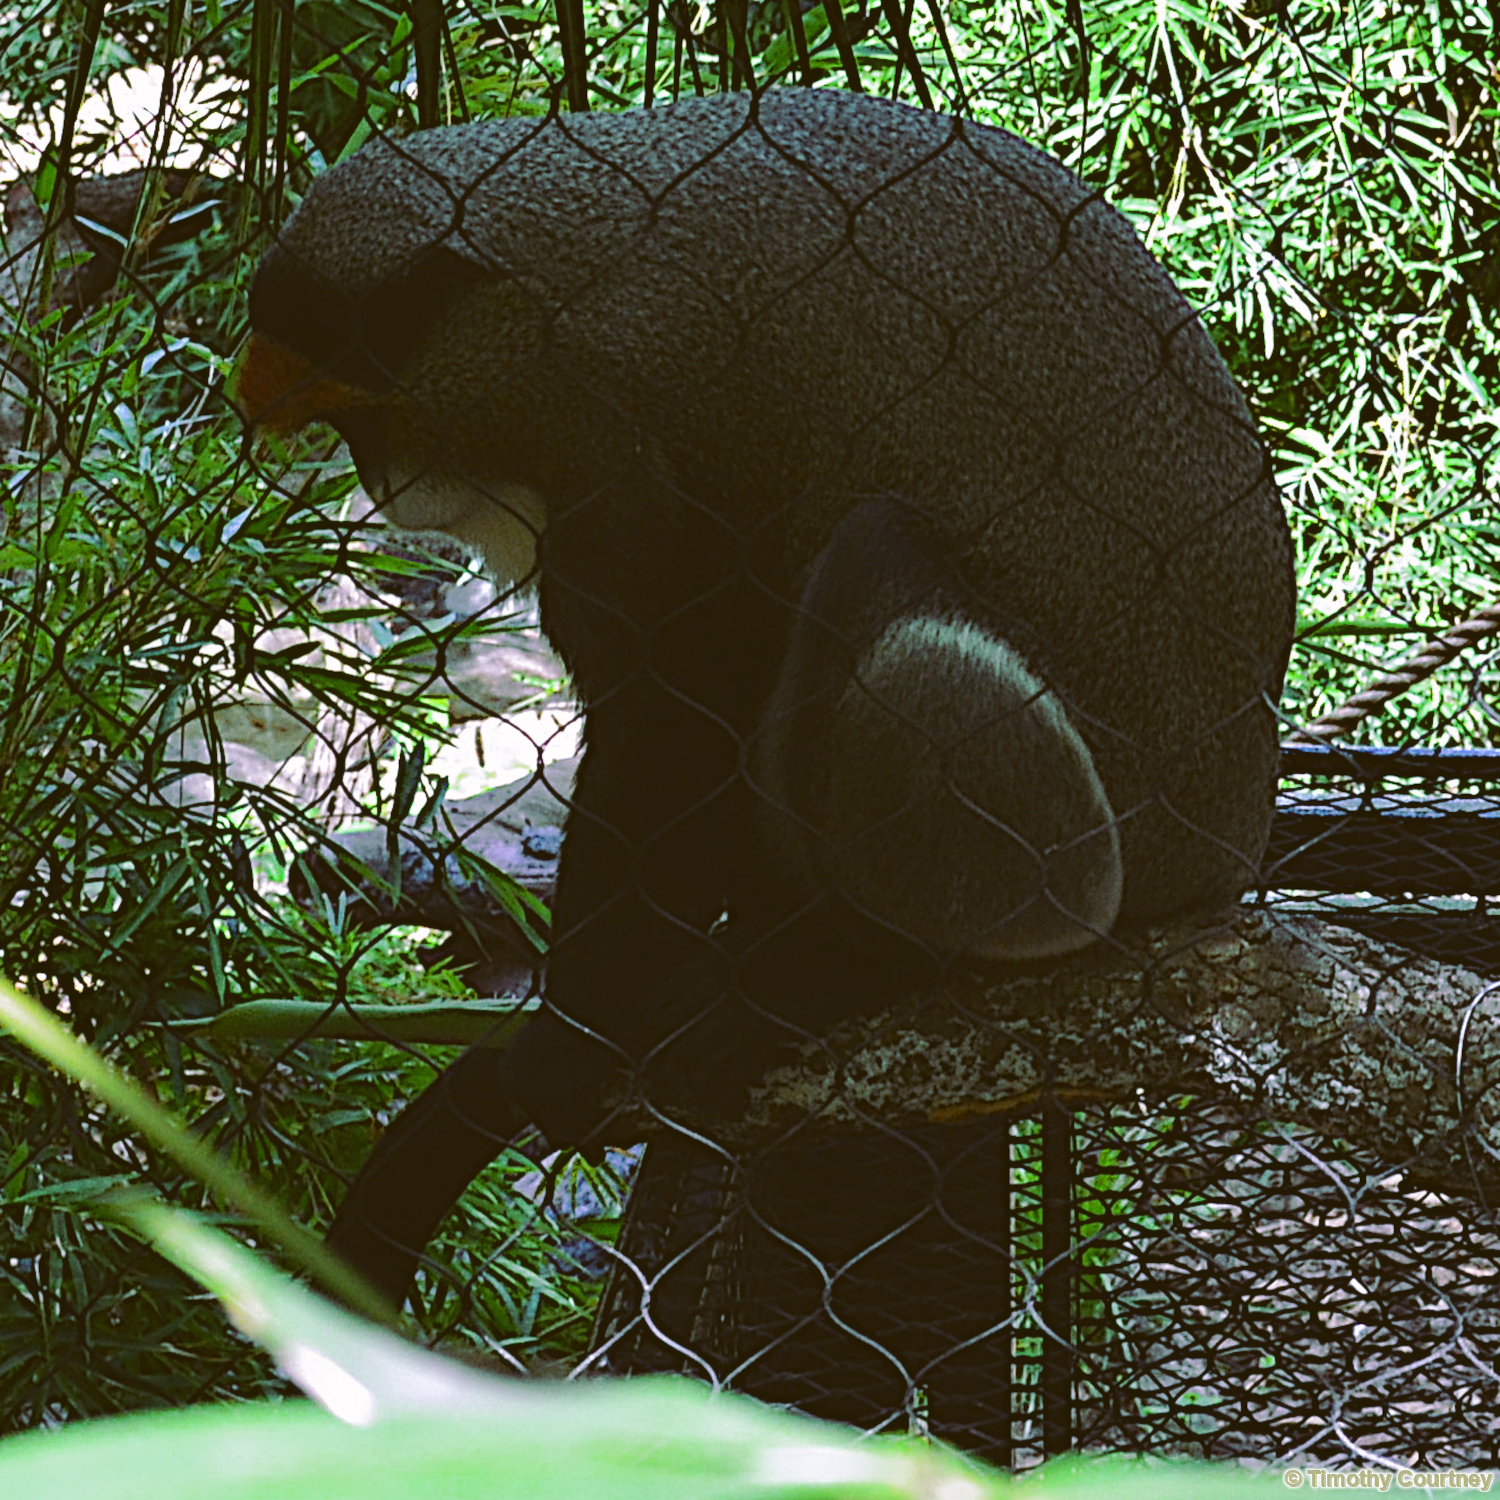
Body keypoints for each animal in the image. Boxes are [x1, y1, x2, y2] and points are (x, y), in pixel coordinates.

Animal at [235, 87, 1296, 1308]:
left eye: (365, 409)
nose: (380, 483)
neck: (557, 262)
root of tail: (1229, 841)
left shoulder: (622, 435)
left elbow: (670, 716)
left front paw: (570, 1039)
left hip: (1094, 855)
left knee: (884, 577)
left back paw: (838, 969)